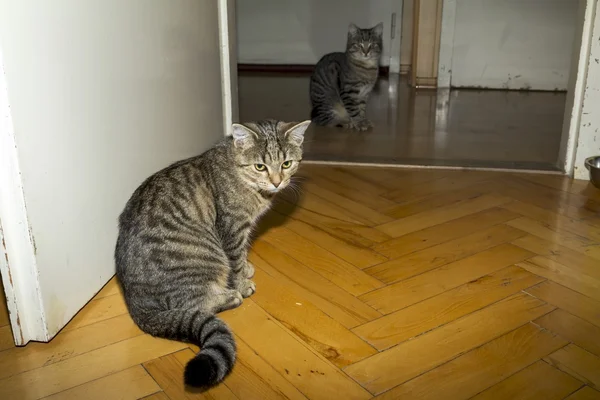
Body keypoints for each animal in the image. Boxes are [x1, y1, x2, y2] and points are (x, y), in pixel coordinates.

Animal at [113, 120, 310, 390]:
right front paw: (242, 282)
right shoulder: (232, 228)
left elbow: (243, 253)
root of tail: (137, 308)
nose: (277, 182)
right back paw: (230, 296)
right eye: (260, 166)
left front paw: (247, 267)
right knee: (195, 305)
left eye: (287, 163)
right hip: (205, 260)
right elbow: (235, 260)